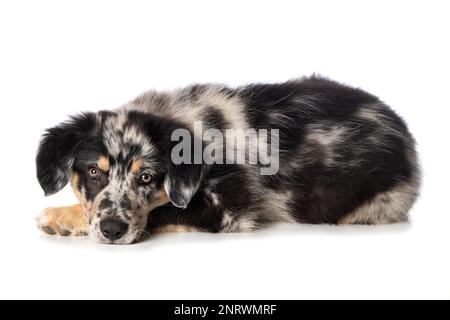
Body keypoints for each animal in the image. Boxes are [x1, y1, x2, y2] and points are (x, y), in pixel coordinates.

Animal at [36, 76, 422, 244]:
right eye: (93, 172)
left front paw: (60, 217)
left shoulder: (231, 207)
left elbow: (163, 210)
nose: (113, 231)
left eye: (146, 177)